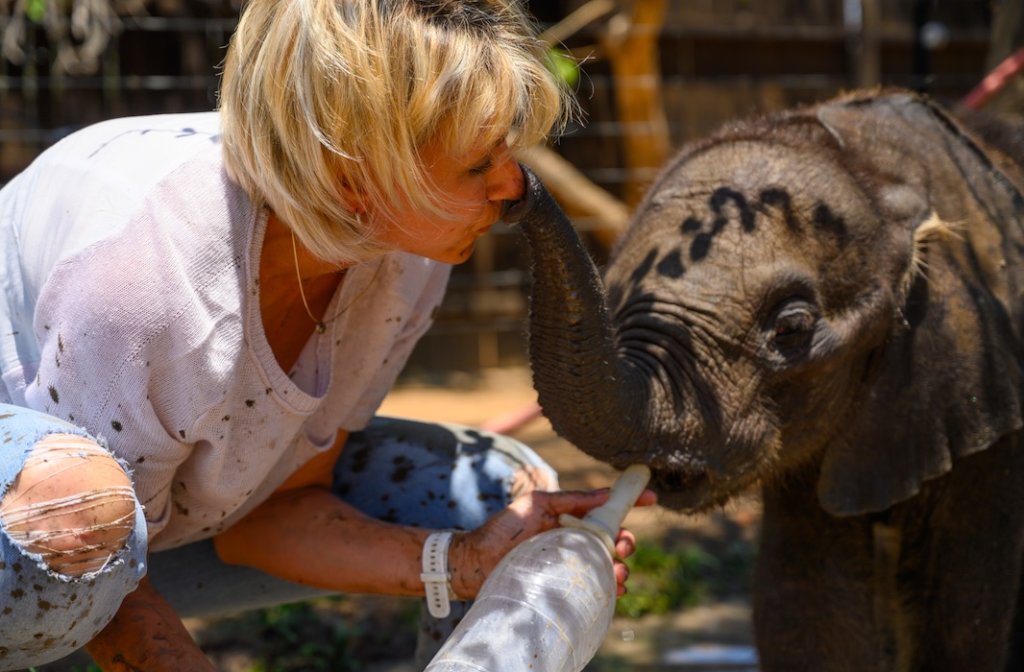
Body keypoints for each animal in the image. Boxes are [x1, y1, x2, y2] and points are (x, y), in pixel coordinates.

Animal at [506, 89, 1024, 671]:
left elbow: (960, 620)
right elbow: (806, 606)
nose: (516, 185)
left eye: (791, 330)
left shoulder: (990, 400)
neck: (880, 167)